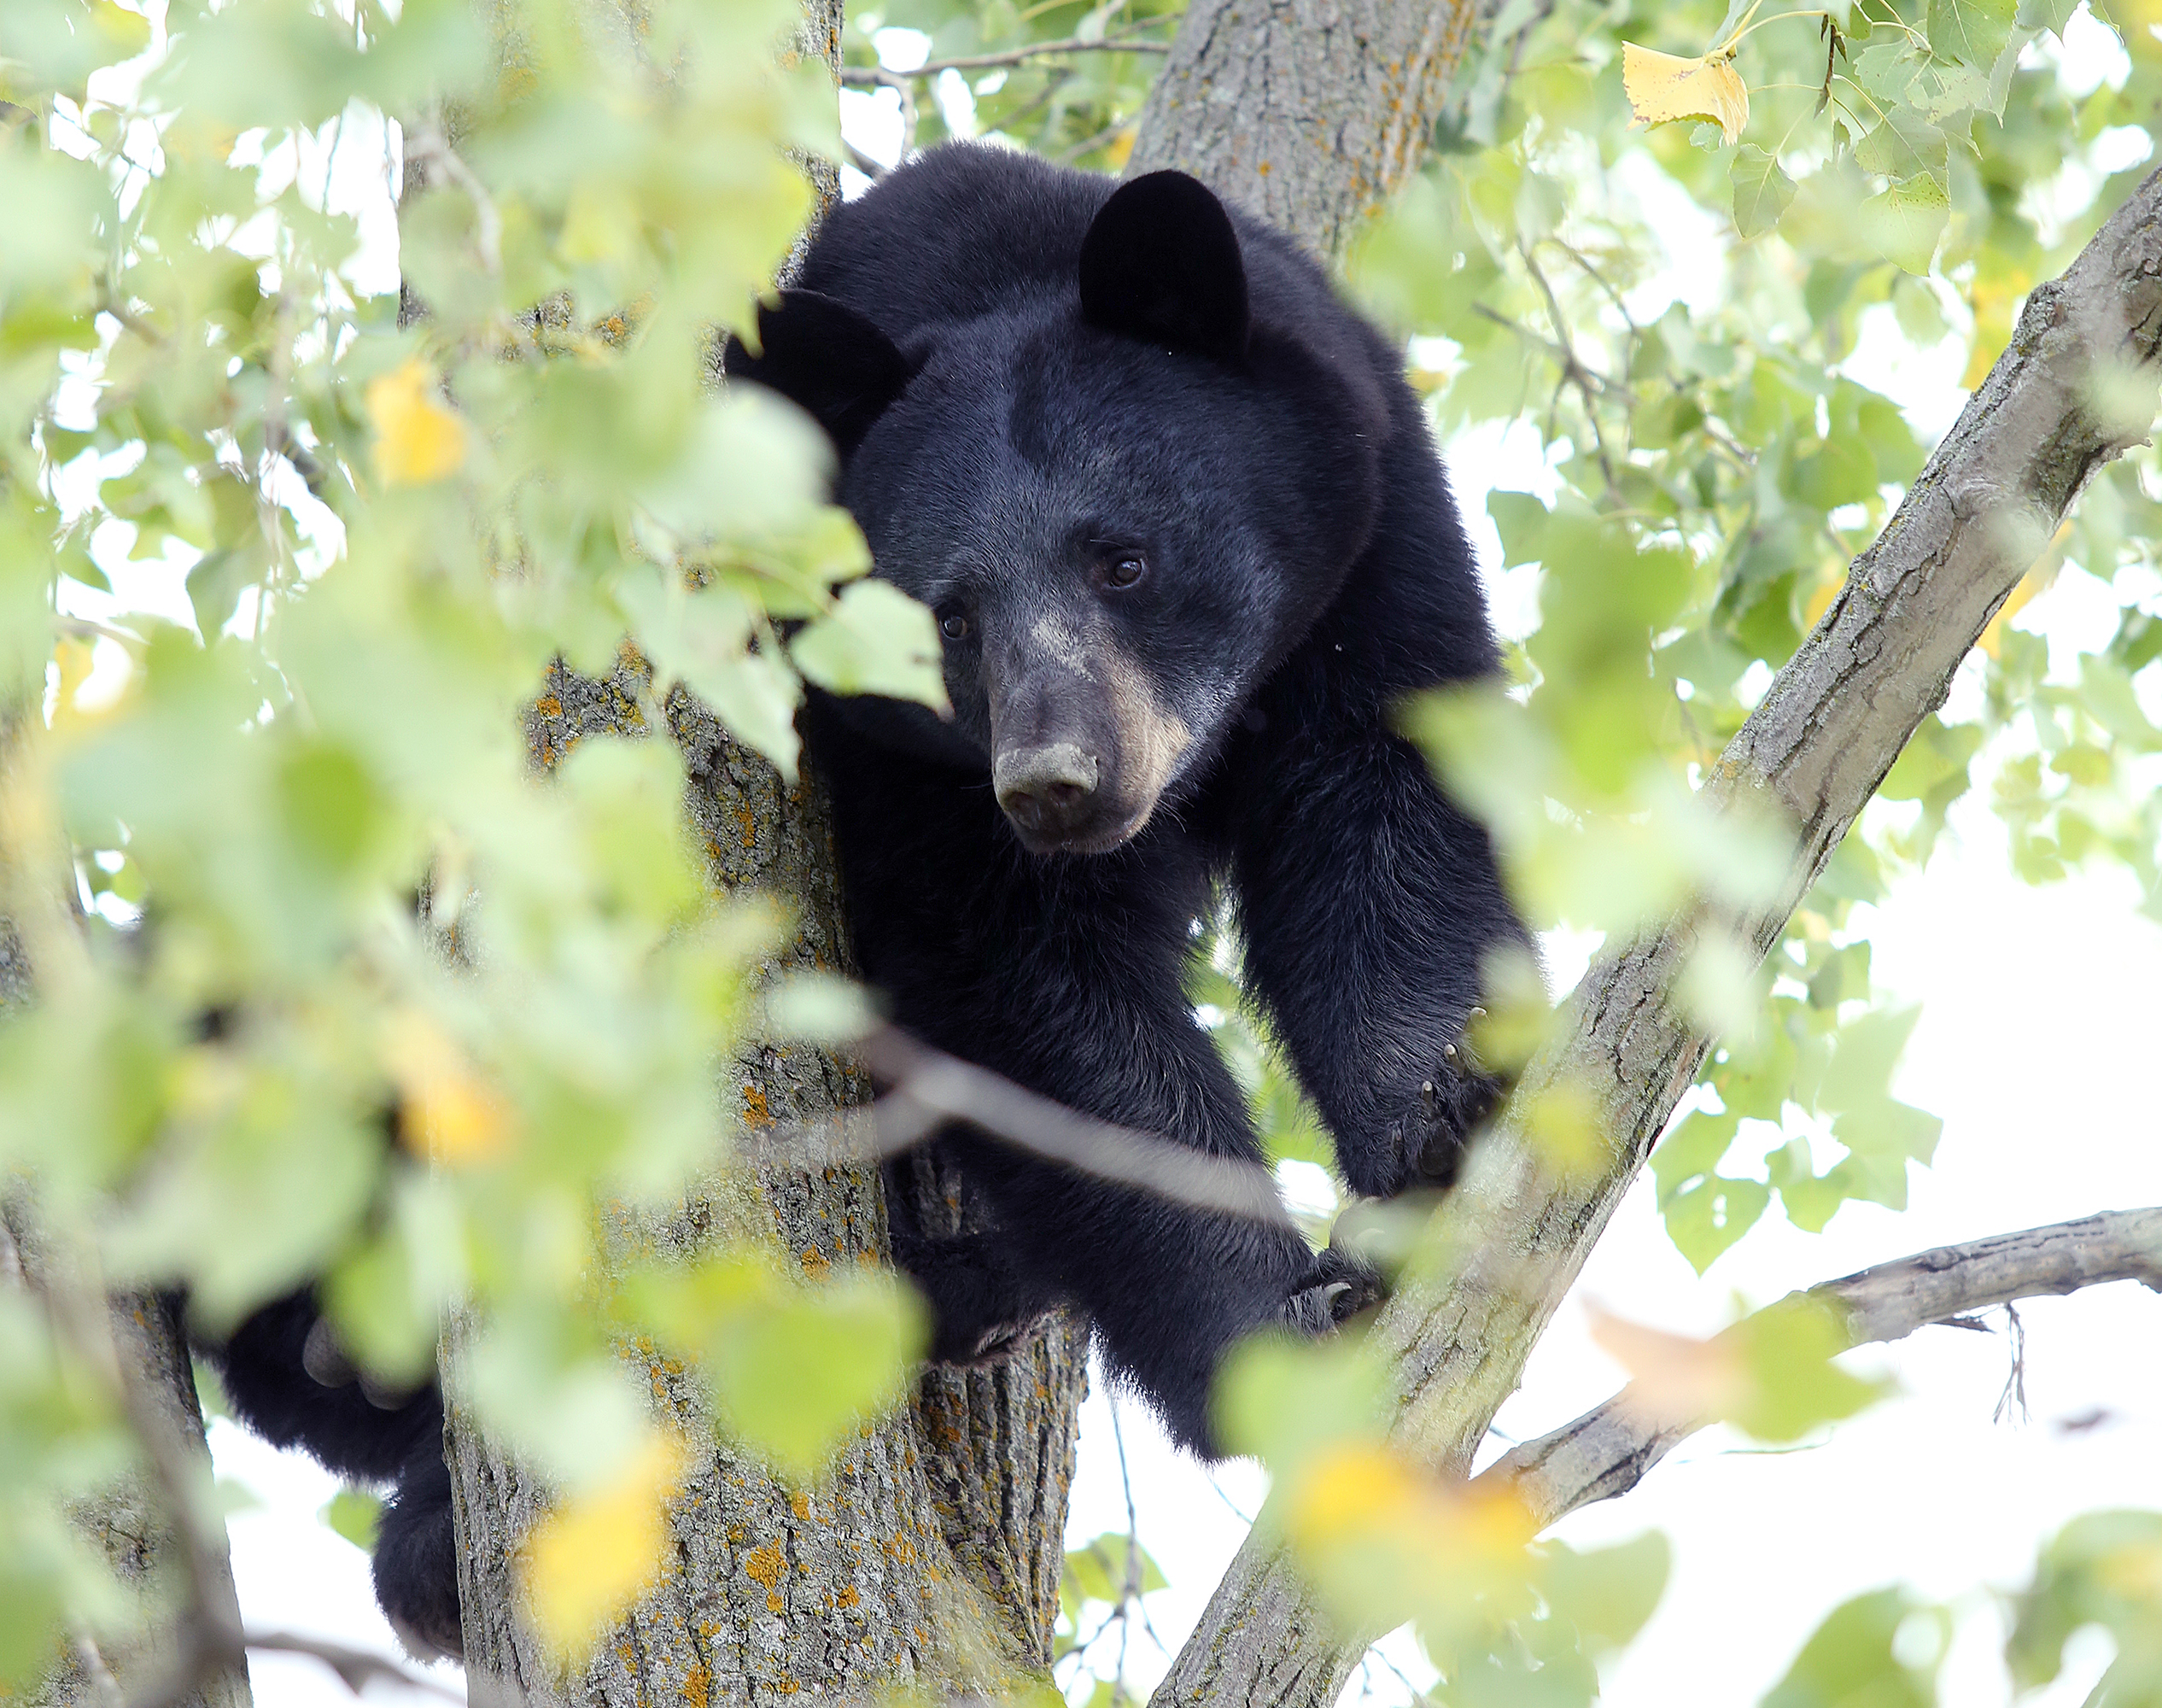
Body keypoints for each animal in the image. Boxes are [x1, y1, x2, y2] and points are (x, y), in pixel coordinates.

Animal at [198, 140, 1527, 1660]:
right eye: (944, 617)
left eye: (1123, 557)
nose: (1057, 786)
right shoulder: (888, 760)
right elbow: (1028, 990)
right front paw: (1273, 1326)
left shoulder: (1373, 541)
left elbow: (1385, 826)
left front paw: (1437, 1120)